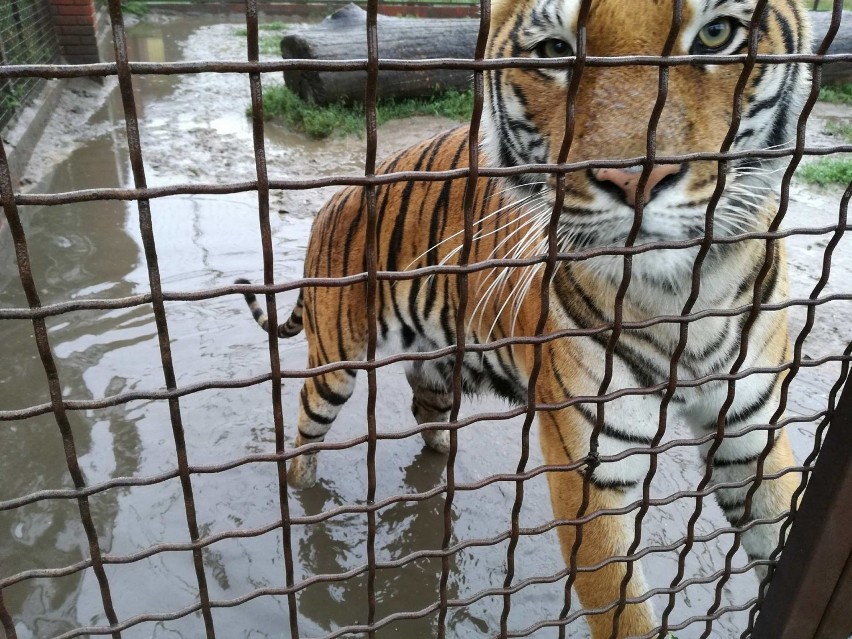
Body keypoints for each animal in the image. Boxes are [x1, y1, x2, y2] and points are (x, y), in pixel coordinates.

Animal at [238, 2, 812, 636]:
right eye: (556, 51)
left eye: (716, 33)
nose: (634, 177)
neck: (687, 296)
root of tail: (333, 201)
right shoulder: (592, 466)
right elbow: (623, 609)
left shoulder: (752, 433)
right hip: (334, 365)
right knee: (304, 436)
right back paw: (307, 498)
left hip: (437, 362)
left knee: (424, 411)